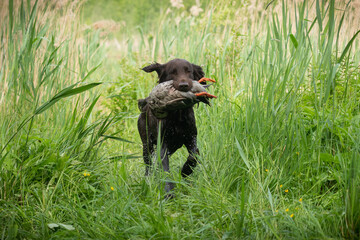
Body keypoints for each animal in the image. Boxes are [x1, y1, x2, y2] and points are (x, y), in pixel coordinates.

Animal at [138, 58, 205, 197]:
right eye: (172, 72)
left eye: (188, 71)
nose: (184, 85)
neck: (178, 114)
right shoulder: (162, 143)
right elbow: (164, 167)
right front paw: (168, 192)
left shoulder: (191, 136)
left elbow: (194, 155)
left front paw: (185, 171)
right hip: (146, 144)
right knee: (148, 165)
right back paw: (148, 180)